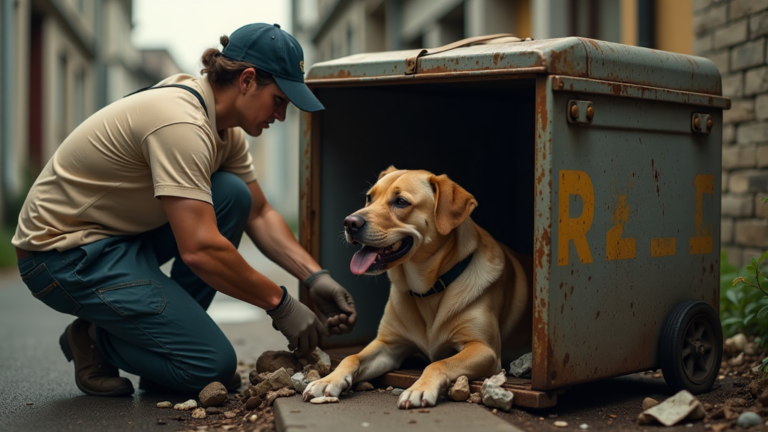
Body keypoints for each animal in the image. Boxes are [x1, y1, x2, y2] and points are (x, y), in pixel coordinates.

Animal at [304, 166, 532, 408]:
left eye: (401, 202)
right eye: (369, 198)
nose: (349, 223)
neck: (428, 291)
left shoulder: (483, 348)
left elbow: (438, 363)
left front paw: (419, 389)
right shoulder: (387, 345)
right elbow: (351, 356)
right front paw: (328, 380)